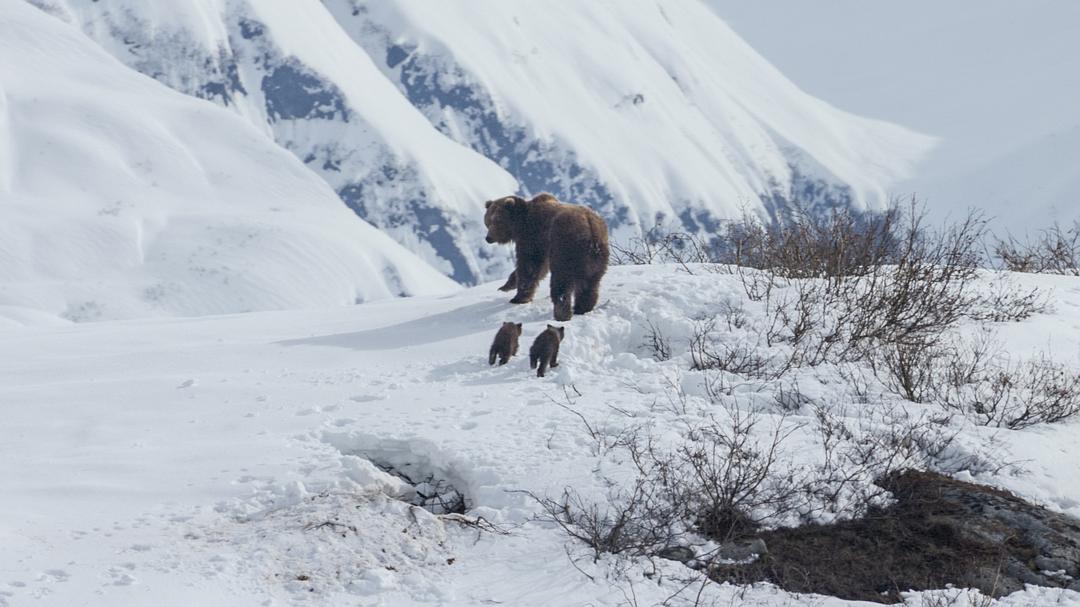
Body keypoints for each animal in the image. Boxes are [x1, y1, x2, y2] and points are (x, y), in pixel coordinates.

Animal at [484, 193, 609, 322]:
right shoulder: (543, 245)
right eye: (488, 221)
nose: (488, 238)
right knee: (590, 283)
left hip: (566, 246)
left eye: (497, 220)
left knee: (561, 280)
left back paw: (561, 314)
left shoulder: (534, 237)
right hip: (596, 258)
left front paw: (519, 297)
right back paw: (582, 308)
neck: (521, 224)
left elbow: (529, 265)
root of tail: (591, 229)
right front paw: (505, 286)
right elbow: (540, 268)